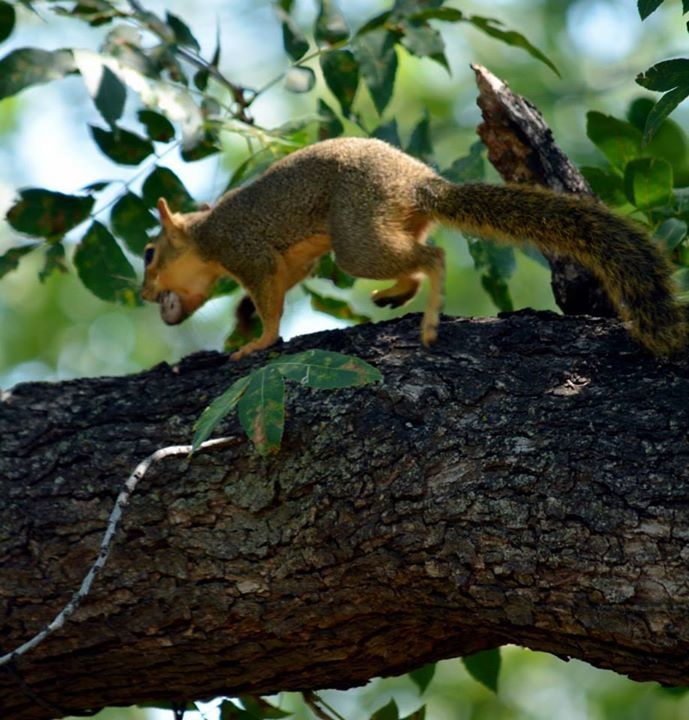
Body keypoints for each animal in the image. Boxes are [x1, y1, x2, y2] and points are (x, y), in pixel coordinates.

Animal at [141, 135, 688, 360]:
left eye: (149, 254)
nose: (145, 295)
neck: (202, 236)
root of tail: (418, 184)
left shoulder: (243, 250)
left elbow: (270, 299)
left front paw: (258, 340)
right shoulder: (292, 260)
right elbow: (283, 283)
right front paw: (245, 321)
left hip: (356, 233)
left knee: (432, 257)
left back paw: (426, 319)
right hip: (378, 226)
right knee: (415, 257)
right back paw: (396, 294)